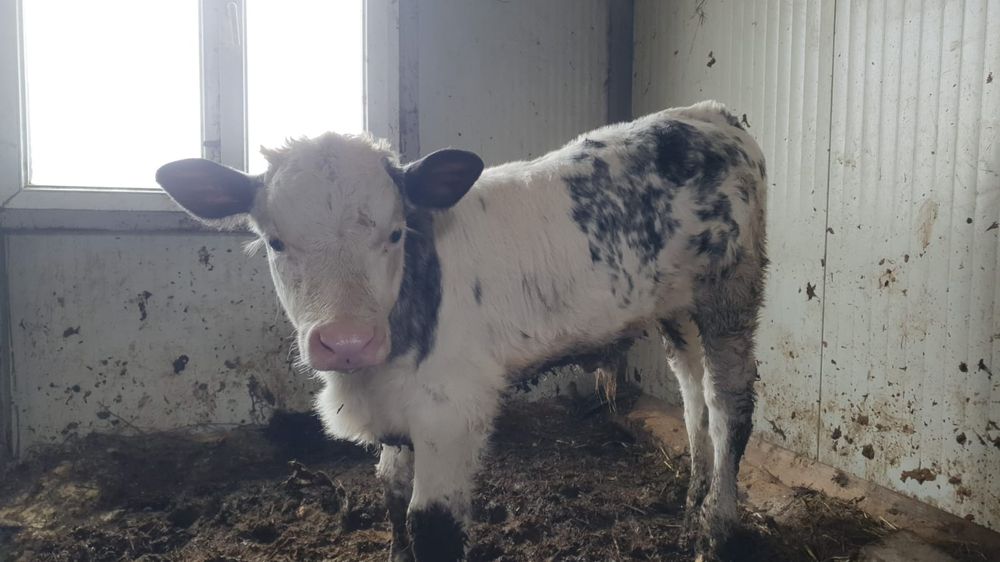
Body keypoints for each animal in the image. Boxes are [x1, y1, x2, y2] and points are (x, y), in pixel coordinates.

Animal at [155, 100, 768, 561]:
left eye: (395, 233)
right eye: (275, 241)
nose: (348, 342)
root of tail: (707, 113)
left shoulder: (452, 411)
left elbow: (431, 527)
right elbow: (390, 493)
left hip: (732, 294)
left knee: (728, 407)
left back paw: (714, 532)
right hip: (676, 308)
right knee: (691, 396)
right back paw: (689, 513)